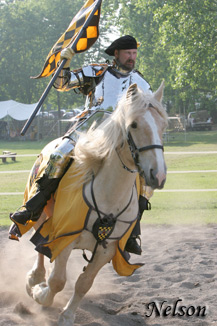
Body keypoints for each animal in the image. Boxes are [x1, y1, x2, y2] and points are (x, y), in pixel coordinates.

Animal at [20, 81, 168, 326]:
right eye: (134, 124)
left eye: (163, 125)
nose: (158, 175)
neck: (108, 195)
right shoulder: (65, 236)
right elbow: (57, 281)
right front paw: (40, 293)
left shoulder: (108, 249)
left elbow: (84, 283)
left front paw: (67, 315)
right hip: (42, 215)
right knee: (39, 242)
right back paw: (34, 278)